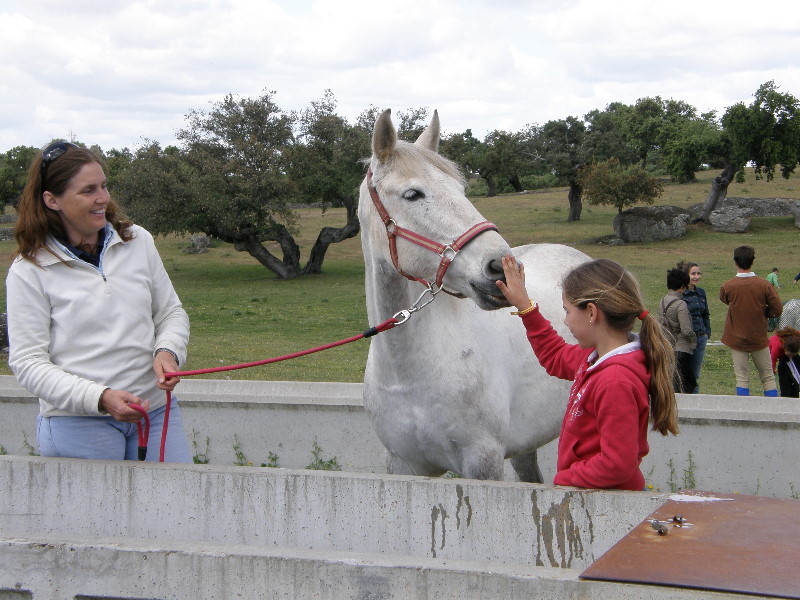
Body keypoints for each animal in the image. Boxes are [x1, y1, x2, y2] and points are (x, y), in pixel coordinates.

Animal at [360, 110, 592, 480]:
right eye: (412, 194)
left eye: (461, 189)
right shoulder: (404, 466)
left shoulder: (482, 464)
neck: (410, 373)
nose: (502, 268)